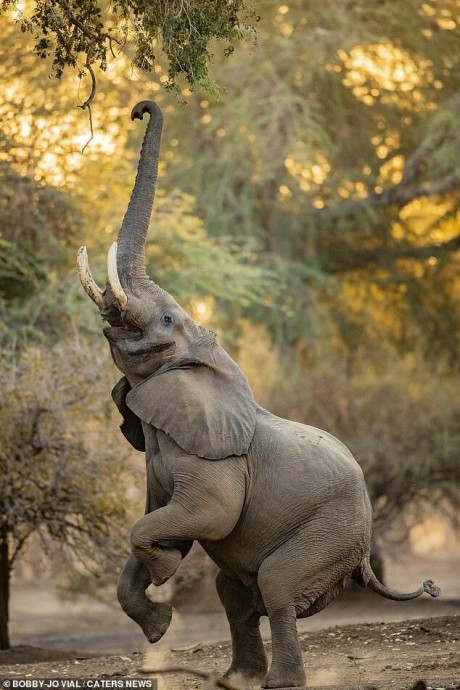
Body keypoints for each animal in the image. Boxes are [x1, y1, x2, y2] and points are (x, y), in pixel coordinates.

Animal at [77, 102, 440, 688]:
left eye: (167, 319)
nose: (138, 109)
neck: (209, 359)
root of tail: (363, 552)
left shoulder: (216, 463)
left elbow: (202, 515)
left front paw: (164, 568)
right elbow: (153, 523)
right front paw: (158, 622)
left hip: (331, 530)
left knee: (276, 584)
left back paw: (279, 682)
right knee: (233, 593)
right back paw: (235, 679)